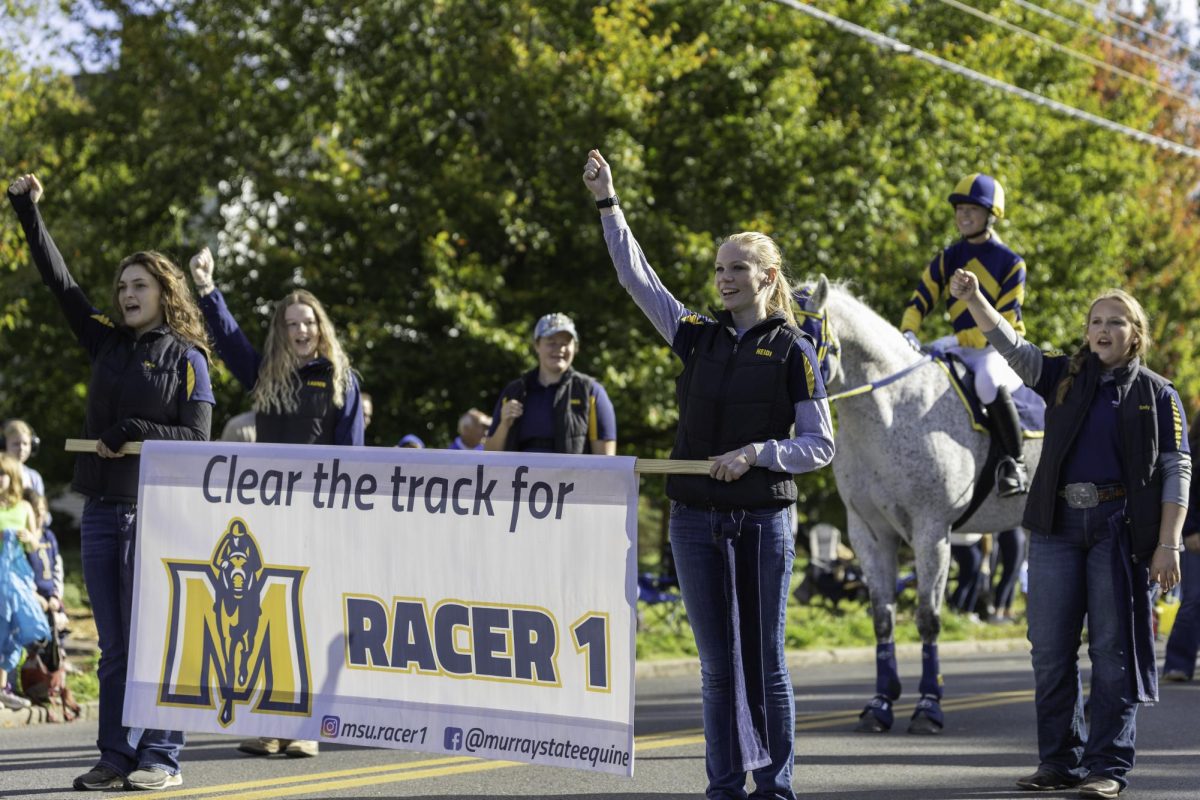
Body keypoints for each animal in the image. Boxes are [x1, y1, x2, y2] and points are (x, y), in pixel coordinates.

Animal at [796, 278, 1041, 734]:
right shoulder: (869, 534)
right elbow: (882, 617)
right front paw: (880, 703)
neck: (892, 410)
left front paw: (928, 705)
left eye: (801, 334)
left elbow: (928, 619)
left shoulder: (931, 534)